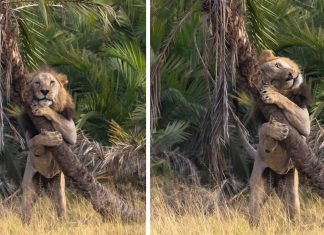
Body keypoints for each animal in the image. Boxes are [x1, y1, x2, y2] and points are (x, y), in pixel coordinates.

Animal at [20, 66, 76, 224]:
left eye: (52, 82)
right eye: (37, 83)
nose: (45, 91)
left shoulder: (72, 132)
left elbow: (55, 115)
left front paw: (43, 109)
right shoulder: (31, 142)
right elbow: (36, 140)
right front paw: (51, 138)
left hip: (58, 189)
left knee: (61, 208)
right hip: (29, 188)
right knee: (26, 212)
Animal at [242, 50, 310, 226]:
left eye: (278, 65)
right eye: (273, 81)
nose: (290, 75)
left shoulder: (305, 122)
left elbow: (288, 102)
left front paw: (272, 94)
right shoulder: (264, 131)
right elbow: (264, 129)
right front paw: (277, 130)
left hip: (290, 188)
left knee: (293, 212)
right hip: (259, 186)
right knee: (254, 214)